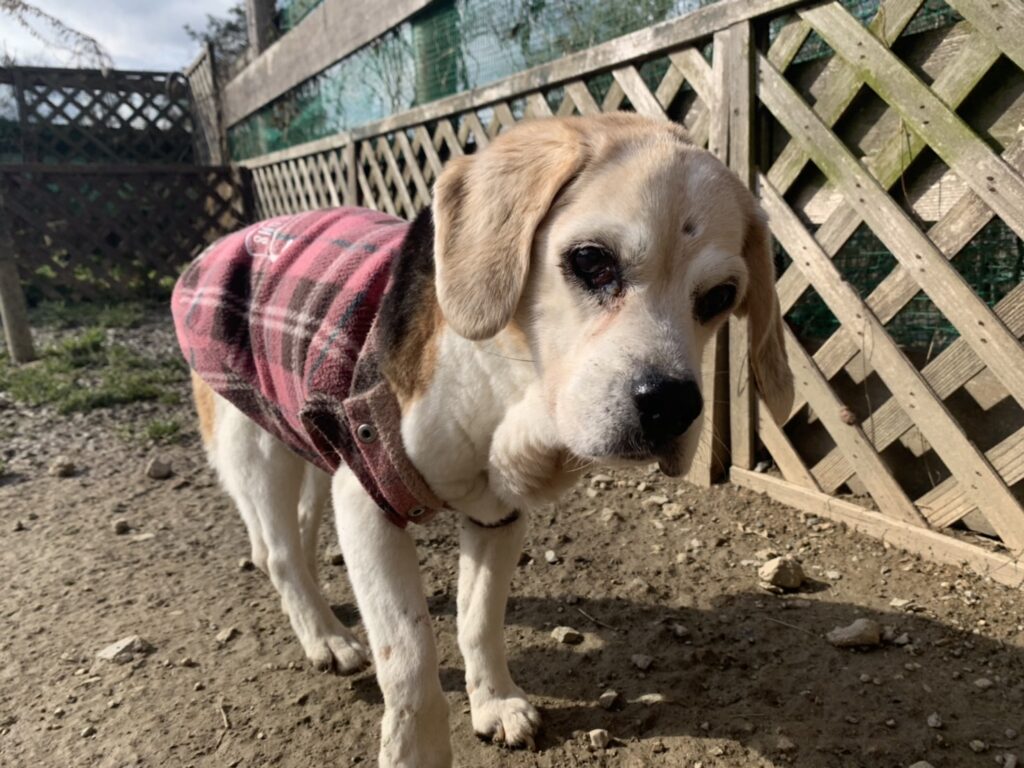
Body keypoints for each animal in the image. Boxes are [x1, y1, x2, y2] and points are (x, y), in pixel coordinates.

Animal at [172, 113, 794, 766]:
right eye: (592, 261)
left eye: (720, 297)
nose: (674, 406)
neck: (502, 399)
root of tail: (224, 241)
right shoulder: (366, 502)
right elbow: (410, 656)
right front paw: (415, 753)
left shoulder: (499, 517)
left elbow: (478, 620)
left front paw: (494, 703)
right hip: (257, 449)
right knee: (279, 552)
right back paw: (324, 637)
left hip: (309, 446)